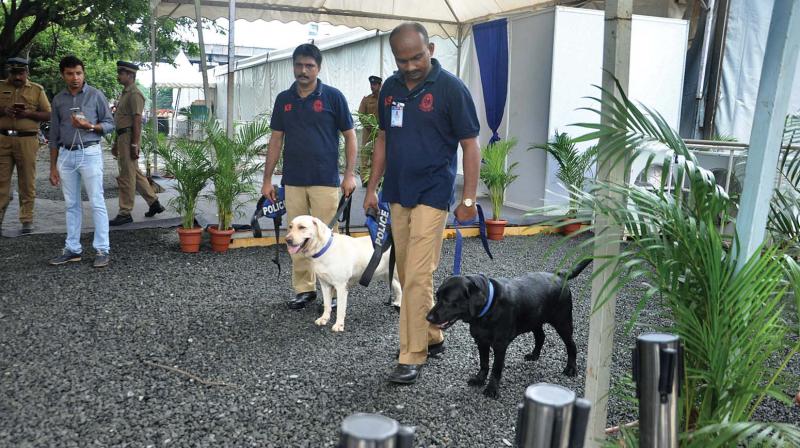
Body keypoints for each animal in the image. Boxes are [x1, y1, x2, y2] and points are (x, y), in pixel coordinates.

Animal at [428, 260, 592, 400]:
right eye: (437, 296)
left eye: (448, 300)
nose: (427, 317)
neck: (488, 308)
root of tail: (558, 275)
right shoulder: (481, 341)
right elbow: (484, 363)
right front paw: (479, 379)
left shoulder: (500, 345)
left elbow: (496, 368)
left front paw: (492, 389)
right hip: (534, 320)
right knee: (541, 336)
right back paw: (534, 355)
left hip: (563, 322)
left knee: (571, 345)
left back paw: (571, 368)